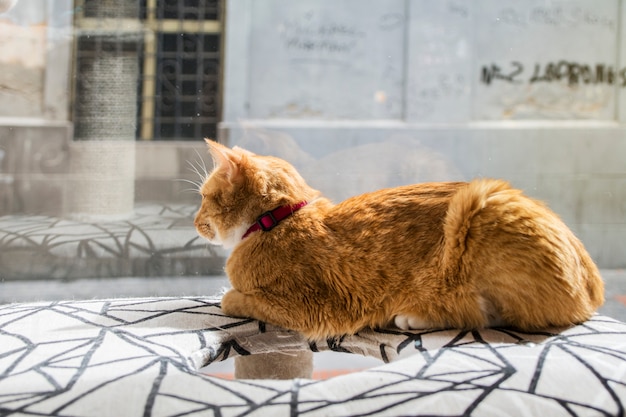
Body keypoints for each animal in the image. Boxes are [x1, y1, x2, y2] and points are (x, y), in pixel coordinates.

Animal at [193, 140, 604, 338]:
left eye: (203, 198)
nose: (194, 221)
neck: (277, 221)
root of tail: (593, 287)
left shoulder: (312, 308)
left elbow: (232, 299)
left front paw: (228, 295)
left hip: (475, 209)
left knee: (482, 314)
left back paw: (412, 315)